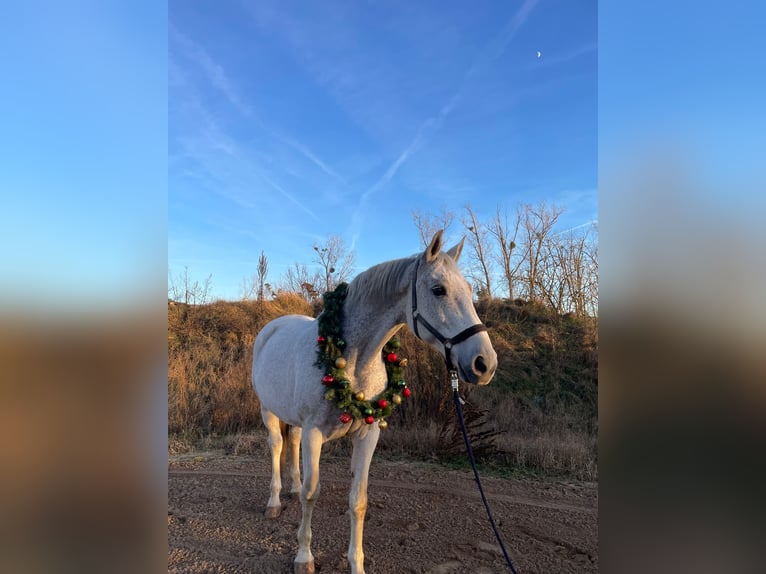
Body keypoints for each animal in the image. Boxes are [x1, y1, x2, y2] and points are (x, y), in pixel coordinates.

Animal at [251, 230, 498, 574]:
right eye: (438, 289)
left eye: (470, 290)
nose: (485, 363)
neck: (351, 359)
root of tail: (272, 328)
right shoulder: (315, 433)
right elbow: (312, 495)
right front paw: (304, 556)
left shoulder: (368, 434)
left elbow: (358, 500)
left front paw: (356, 563)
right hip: (269, 412)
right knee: (276, 447)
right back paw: (274, 502)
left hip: (296, 421)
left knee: (293, 446)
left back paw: (293, 487)